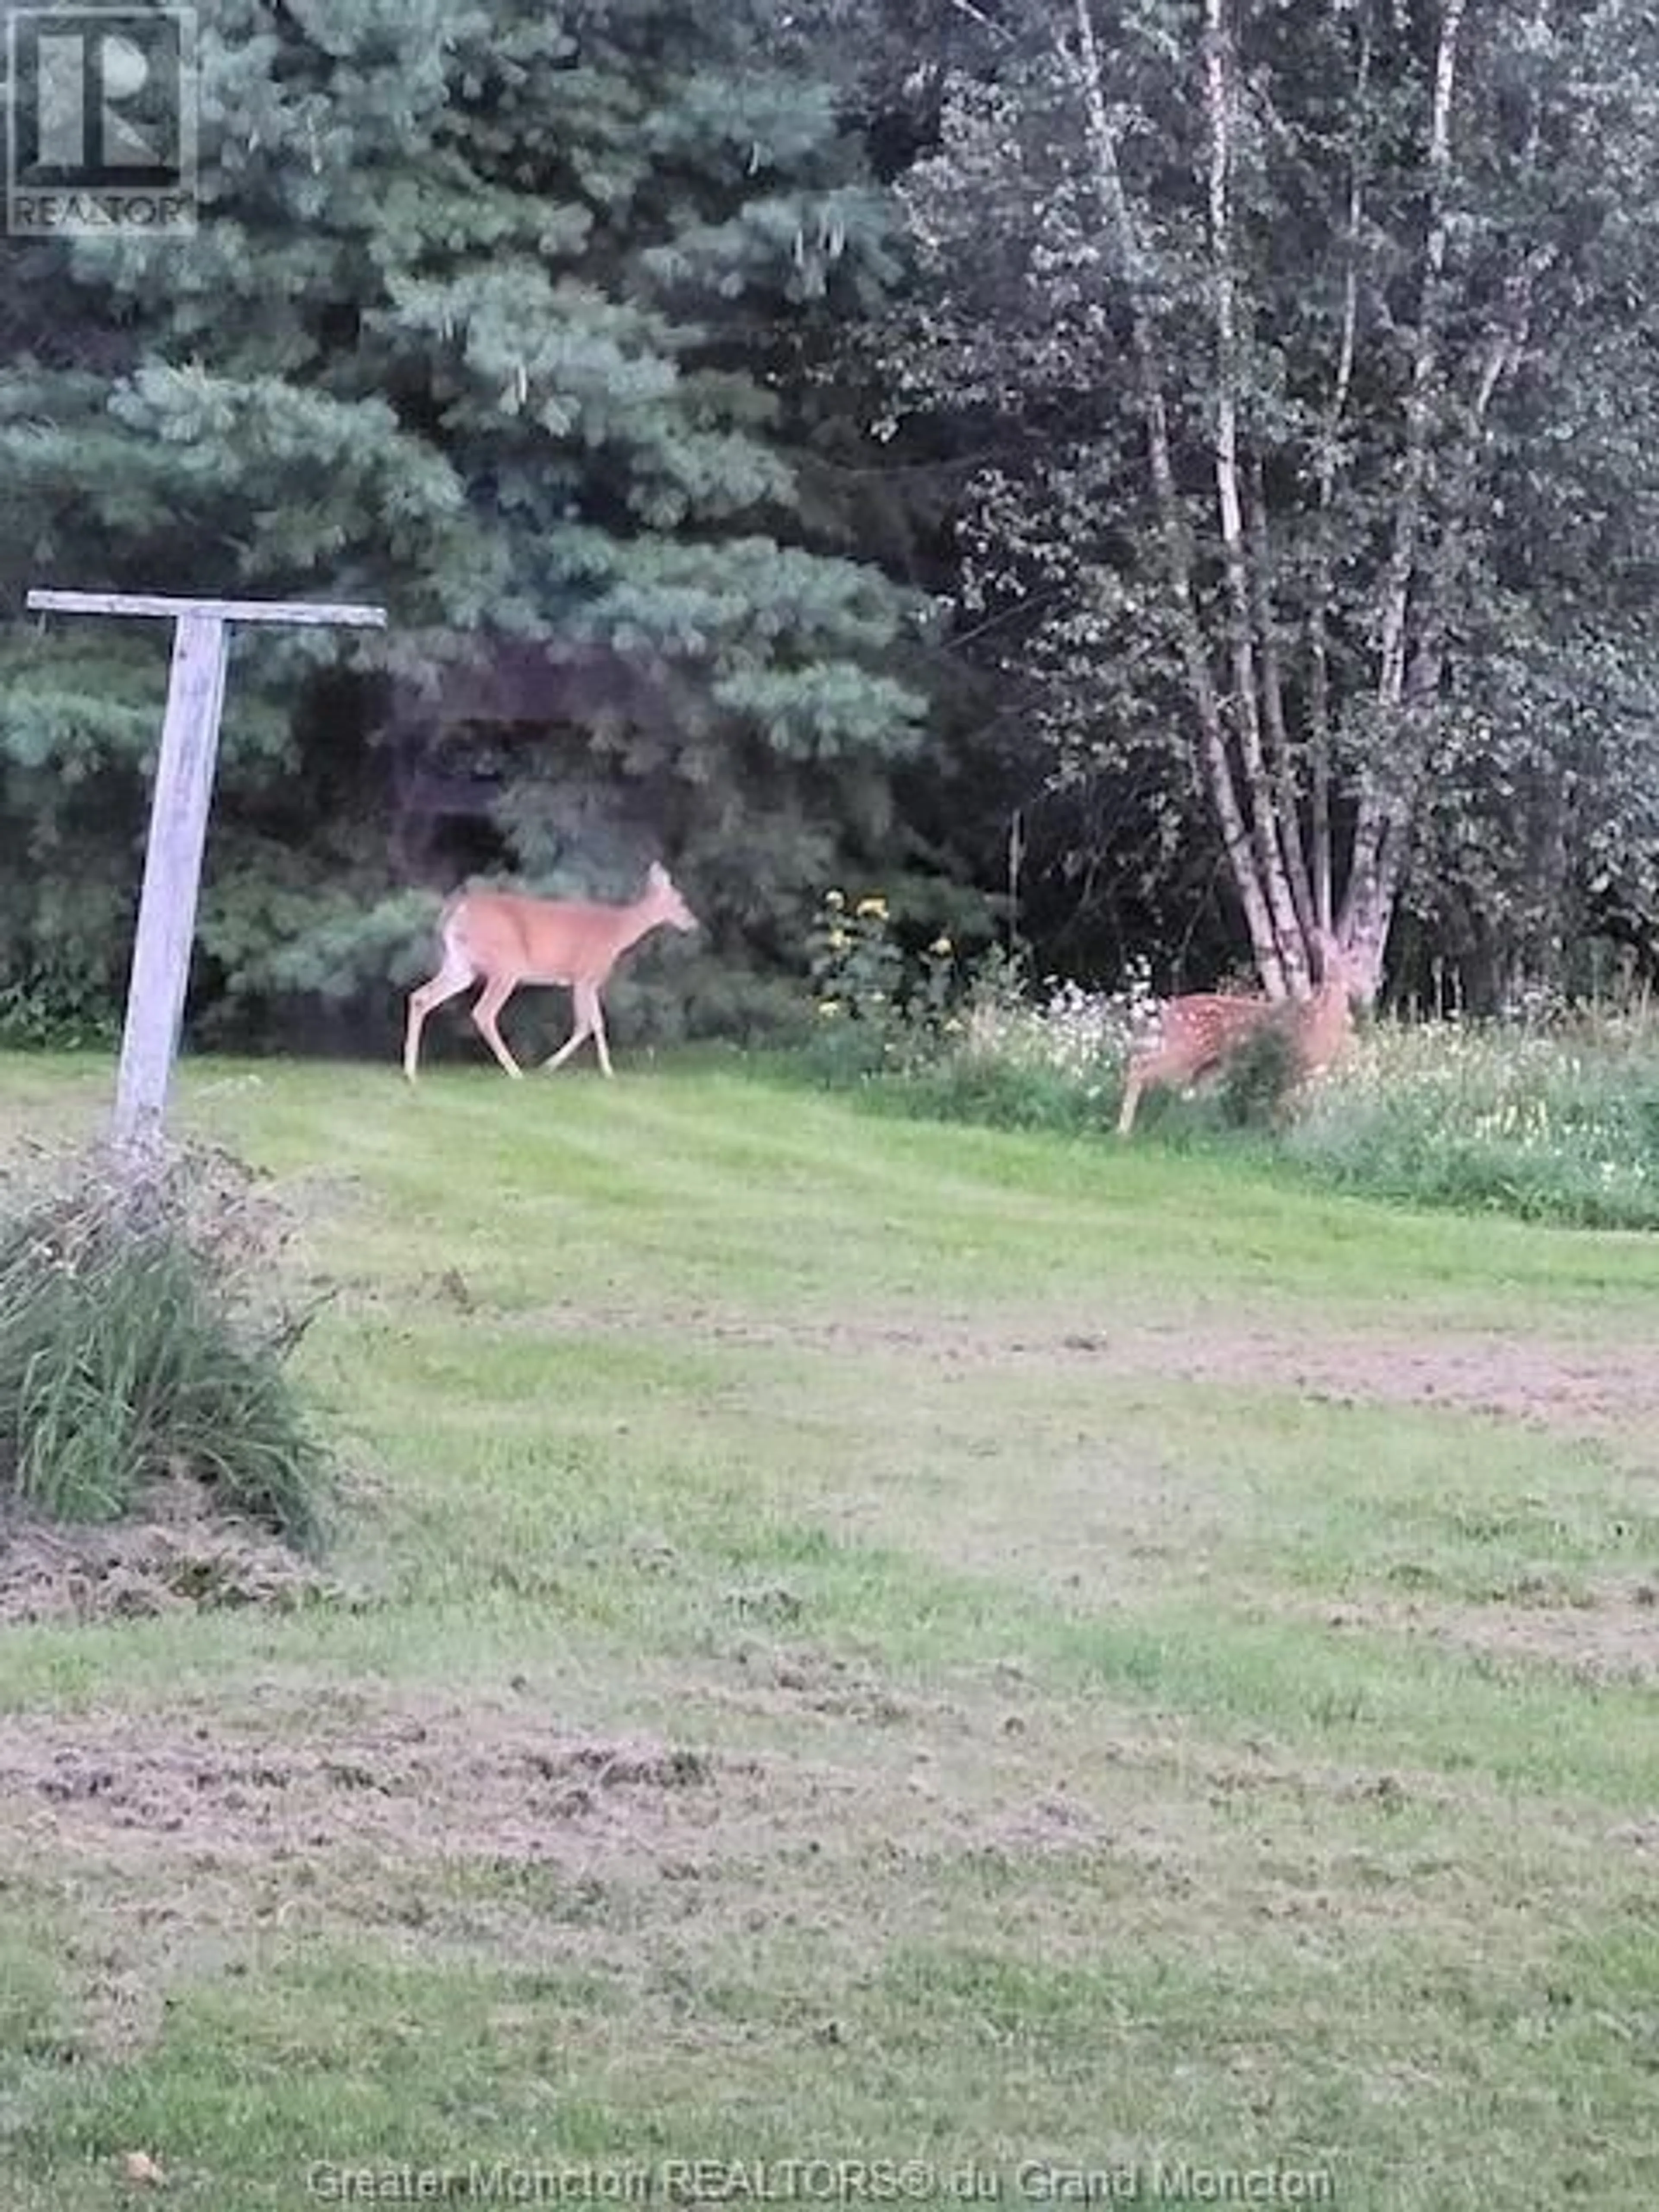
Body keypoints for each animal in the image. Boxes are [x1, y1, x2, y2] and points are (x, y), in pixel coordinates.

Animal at [407, 858, 699, 1084]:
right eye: (680, 900)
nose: (693, 923)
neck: (617, 932)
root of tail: (456, 912)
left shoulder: (589, 981)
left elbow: (597, 1023)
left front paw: (607, 1071)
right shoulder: (584, 976)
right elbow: (585, 1024)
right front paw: (550, 1066)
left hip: (461, 964)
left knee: (420, 997)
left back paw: (411, 1073)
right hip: (505, 966)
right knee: (484, 1013)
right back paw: (515, 1072)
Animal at [1119, 938, 1362, 1141]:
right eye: (1353, 961)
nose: (1367, 983)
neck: (1320, 1022)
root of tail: (1169, 1012)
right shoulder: (1294, 1064)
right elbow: (1287, 1105)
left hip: (1207, 1064)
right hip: (1186, 1050)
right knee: (1141, 1064)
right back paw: (1124, 1131)